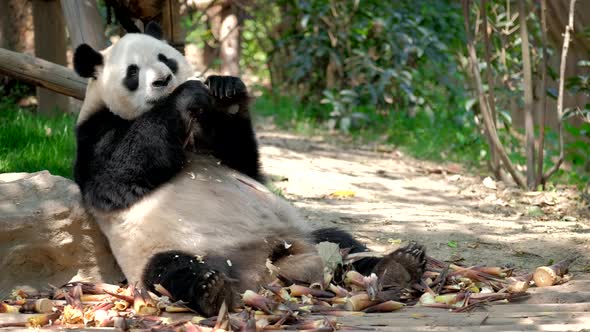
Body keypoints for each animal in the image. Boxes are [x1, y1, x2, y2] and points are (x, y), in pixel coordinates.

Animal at [71, 22, 428, 318]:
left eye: (165, 58)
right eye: (132, 72)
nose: (163, 80)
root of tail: (263, 274)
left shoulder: (212, 139)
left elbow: (244, 161)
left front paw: (226, 89)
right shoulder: (93, 135)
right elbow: (115, 179)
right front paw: (185, 94)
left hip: (302, 238)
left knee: (341, 242)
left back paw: (399, 264)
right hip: (162, 252)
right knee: (171, 270)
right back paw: (211, 290)